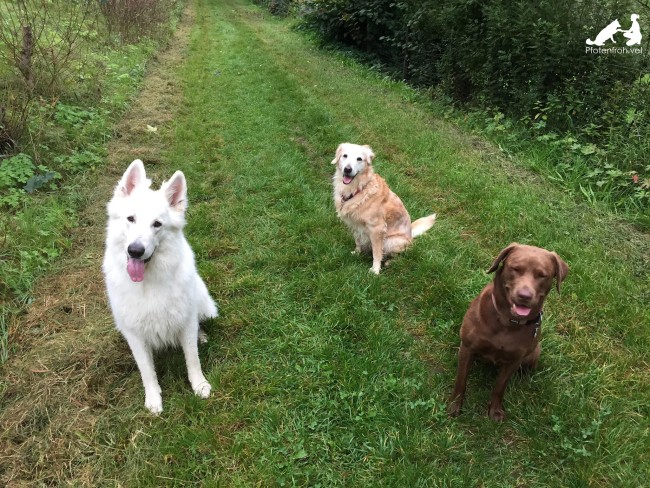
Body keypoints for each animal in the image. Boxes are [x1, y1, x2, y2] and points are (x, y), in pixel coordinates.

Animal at [102, 159, 216, 412]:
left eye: (157, 224)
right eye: (131, 219)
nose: (135, 250)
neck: (147, 282)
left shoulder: (185, 319)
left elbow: (192, 358)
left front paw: (199, 385)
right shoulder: (134, 334)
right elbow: (146, 370)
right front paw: (153, 399)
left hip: (203, 303)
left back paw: (201, 335)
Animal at [330, 143, 436, 276]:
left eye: (359, 159)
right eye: (345, 156)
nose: (347, 169)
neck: (359, 189)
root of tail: (411, 234)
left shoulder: (377, 229)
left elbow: (377, 252)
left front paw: (375, 270)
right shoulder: (354, 224)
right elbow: (358, 241)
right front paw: (356, 253)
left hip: (391, 241)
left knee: (401, 255)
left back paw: (389, 262)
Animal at [448, 243, 564, 420]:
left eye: (542, 275)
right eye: (515, 268)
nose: (524, 295)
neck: (507, 322)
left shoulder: (514, 361)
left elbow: (500, 387)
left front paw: (495, 410)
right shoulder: (467, 348)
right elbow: (461, 381)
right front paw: (454, 406)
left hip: (534, 353)